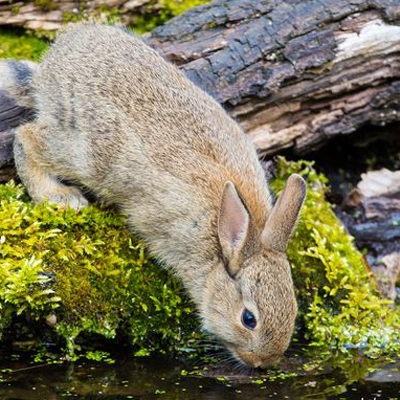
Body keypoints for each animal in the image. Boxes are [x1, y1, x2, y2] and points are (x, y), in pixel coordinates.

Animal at [0, 22, 306, 368]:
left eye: (294, 310)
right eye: (248, 319)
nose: (264, 363)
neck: (221, 243)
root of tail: (50, 69)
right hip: (87, 152)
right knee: (26, 137)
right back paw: (59, 197)